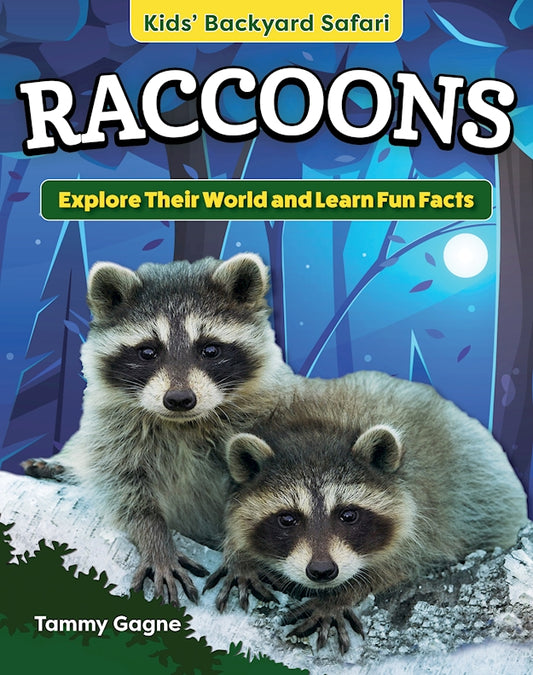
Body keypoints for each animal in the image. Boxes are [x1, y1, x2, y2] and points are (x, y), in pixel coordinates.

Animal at [22, 253, 294, 605]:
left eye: (210, 350)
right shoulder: (113, 429)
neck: (182, 424)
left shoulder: (263, 419)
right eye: (148, 351)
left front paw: (242, 556)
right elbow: (124, 488)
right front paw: (154, 538)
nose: (179, 399)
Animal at [207, 370, 528, 653]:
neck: (320, 426)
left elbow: (402, 564)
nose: (322, 571)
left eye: (348, 515)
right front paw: (240, 556)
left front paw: (340, 596)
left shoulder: (431, 512)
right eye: (287, 519)